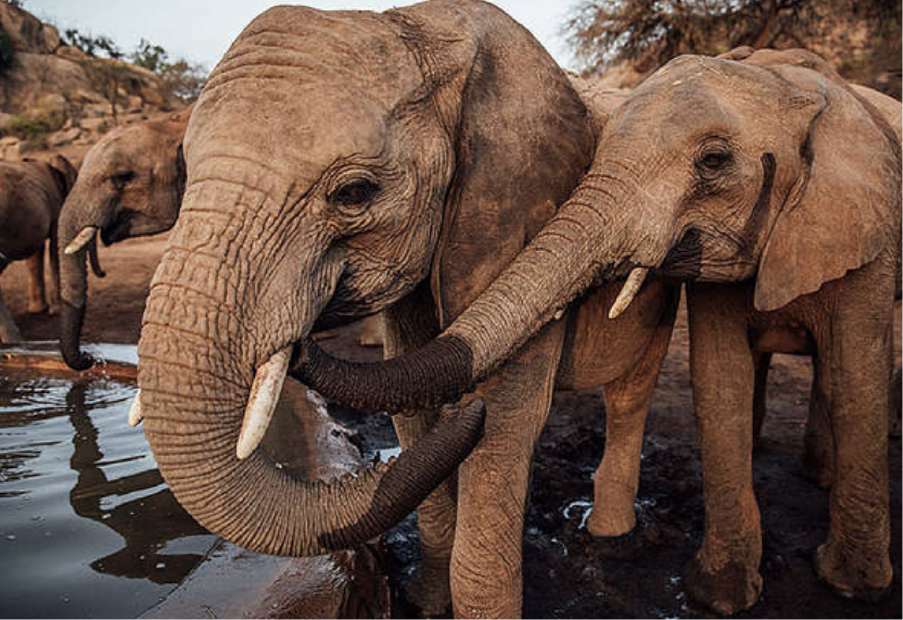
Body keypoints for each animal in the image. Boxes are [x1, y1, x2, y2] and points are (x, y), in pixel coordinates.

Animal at [131, 2, 685, 617]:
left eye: (353, 193)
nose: (296, 343)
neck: (424, 25)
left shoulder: (520, 217)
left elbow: (505, 420)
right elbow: (415, 413)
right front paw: (423, 601)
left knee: (630, 393)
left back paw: (614, 537)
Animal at [296, 47, 900, 614]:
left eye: (713, 161)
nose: (300, 337)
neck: (789, 84)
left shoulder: (867, 229)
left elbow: (856, 381)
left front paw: (853, 586)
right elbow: (720, 378)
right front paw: (722, 596)